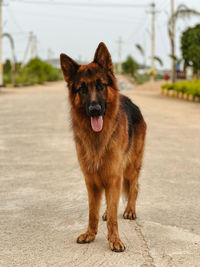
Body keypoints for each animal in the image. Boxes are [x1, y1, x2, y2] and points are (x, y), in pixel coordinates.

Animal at [60, 42, 146, 253]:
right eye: (82, 89)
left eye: (100, 86)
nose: (94, 110)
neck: (97, 138)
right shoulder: (92, 181)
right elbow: (93, 211)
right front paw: (90, 234)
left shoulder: (114, 176)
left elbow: (115, 214)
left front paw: (114, 239)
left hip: (130, 168)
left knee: (134, 188)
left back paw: (130, 210)